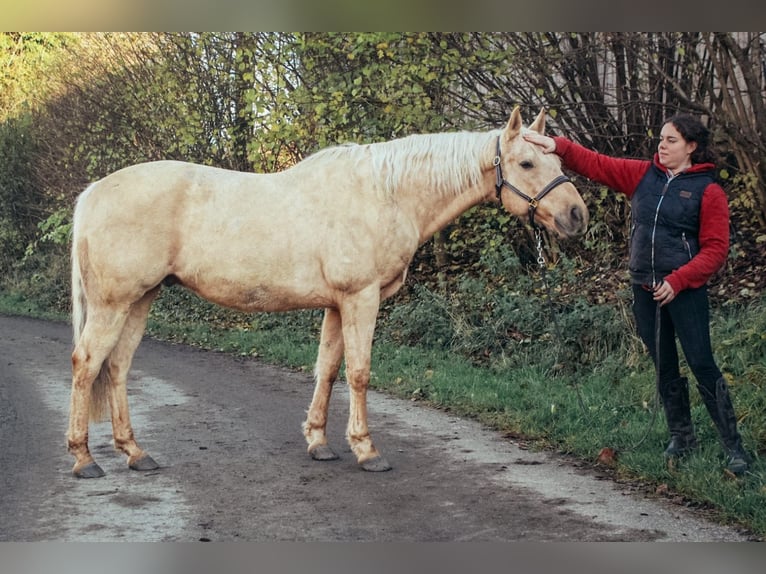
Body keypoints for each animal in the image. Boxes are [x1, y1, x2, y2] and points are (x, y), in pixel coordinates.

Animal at [69, 106, 592, 480]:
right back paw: (84, 459)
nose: (576, 216)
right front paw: (367, 450)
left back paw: (135, 453)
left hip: (141, 299)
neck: (385, 193)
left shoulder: (337, 305)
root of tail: (93, 191)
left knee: (117, 367)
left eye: (556, 159)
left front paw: (319, 443)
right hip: (114, 304)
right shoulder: (361, 298)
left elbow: (327, 369)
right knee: (87, 364)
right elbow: (359, 373)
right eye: (526, 162)